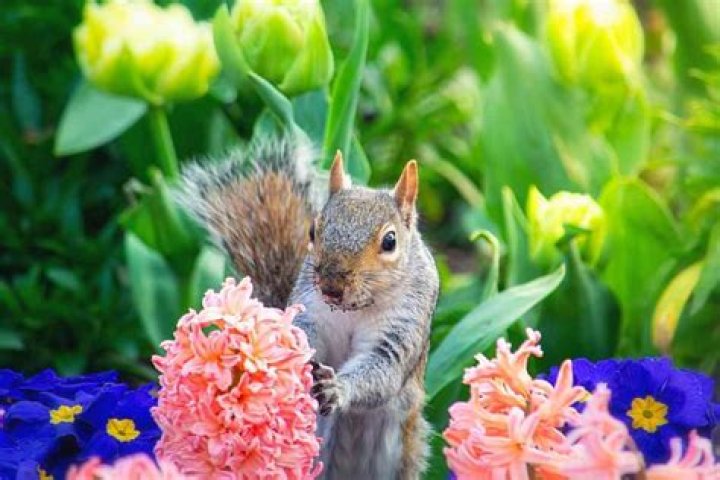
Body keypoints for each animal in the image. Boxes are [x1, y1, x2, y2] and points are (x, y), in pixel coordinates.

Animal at [178, 136, 439, 480]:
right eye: (313, 231)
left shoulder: (403, 325)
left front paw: (338, 389)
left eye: (390, 241)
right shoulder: (310, 310)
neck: (354, 308)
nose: (331, 285)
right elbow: (301, 340)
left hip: (398, 446)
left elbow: (383, 368)